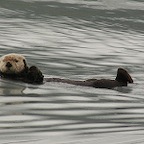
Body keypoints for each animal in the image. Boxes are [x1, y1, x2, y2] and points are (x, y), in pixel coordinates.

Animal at [0, 53, 133, 88]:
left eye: (16, 60)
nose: (8, 63)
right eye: (3, 60)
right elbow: (37, 79)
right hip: (101, 83)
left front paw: (32, 67)